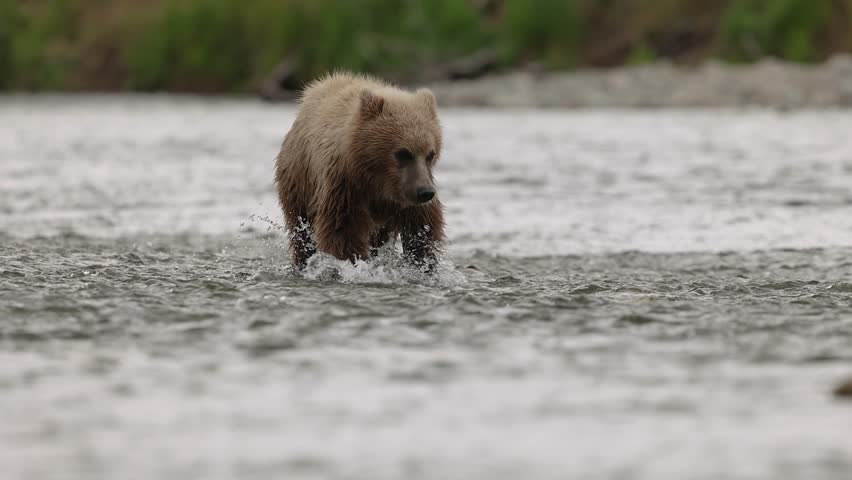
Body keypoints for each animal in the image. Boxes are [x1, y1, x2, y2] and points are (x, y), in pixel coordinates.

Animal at [274, 72, 445, 272]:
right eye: (403, 153)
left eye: (430, 154)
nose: (425, 192)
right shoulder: (345, 185)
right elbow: (343, 231)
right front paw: (353, 264)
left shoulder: (409, 194)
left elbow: (422, 229)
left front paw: (422, 264)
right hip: (300, 179)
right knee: (301, 230)